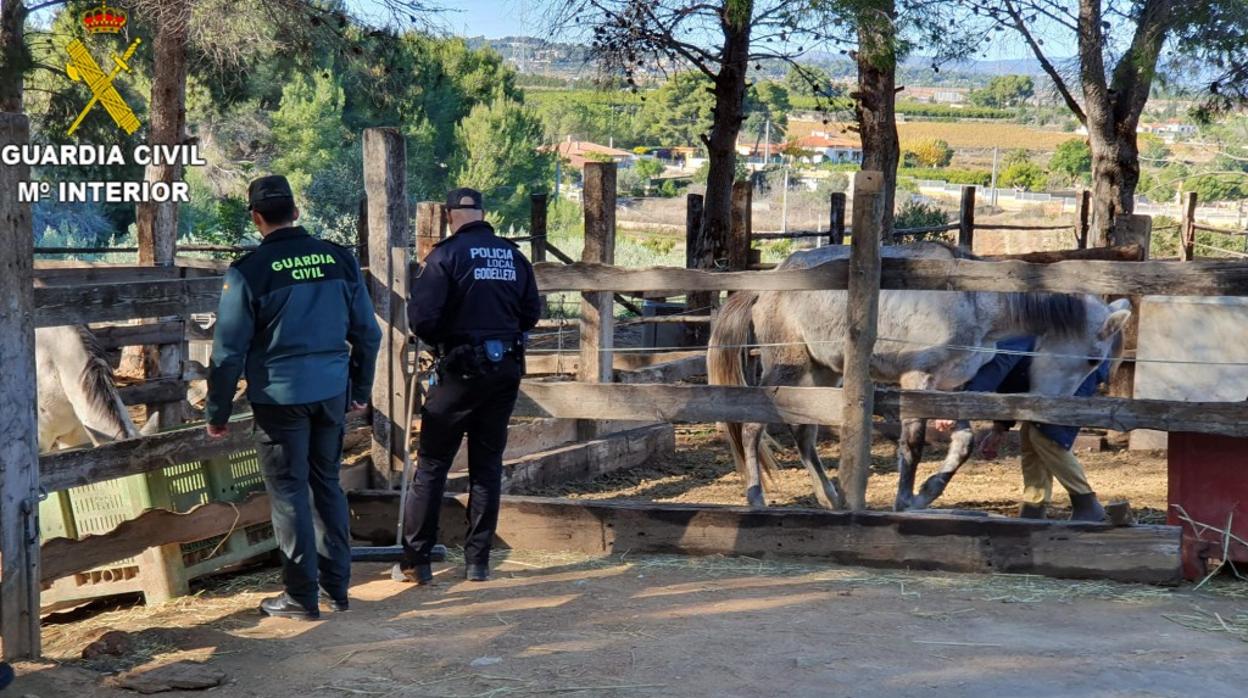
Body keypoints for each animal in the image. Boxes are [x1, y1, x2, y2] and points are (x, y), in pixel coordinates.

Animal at [713, 243, 1133, 511]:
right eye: (1092, 360)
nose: (1051, 416)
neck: (971, 301)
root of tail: (772, 279)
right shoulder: (917, 380)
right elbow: (913, 444)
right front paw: (904, 500)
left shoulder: (952, 387)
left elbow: (963, 442)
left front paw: (927, 492)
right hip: (788, 367)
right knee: (752, 426)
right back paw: (756, 497)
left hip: (823, 373)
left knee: (804, 434)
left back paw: (829, 497)